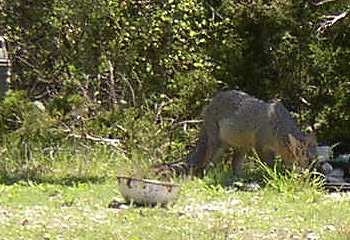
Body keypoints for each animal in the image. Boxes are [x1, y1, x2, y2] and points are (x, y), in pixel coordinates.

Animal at [186, 89, 318, 176]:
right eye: (308, 161)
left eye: (314, 161)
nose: (314, 176)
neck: (277, 124)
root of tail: (211, 103)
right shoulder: (261, 147)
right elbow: (271, 166)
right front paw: (275, 176)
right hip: (218, 148)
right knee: (206, 165)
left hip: (242, 148)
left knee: (234, 165)